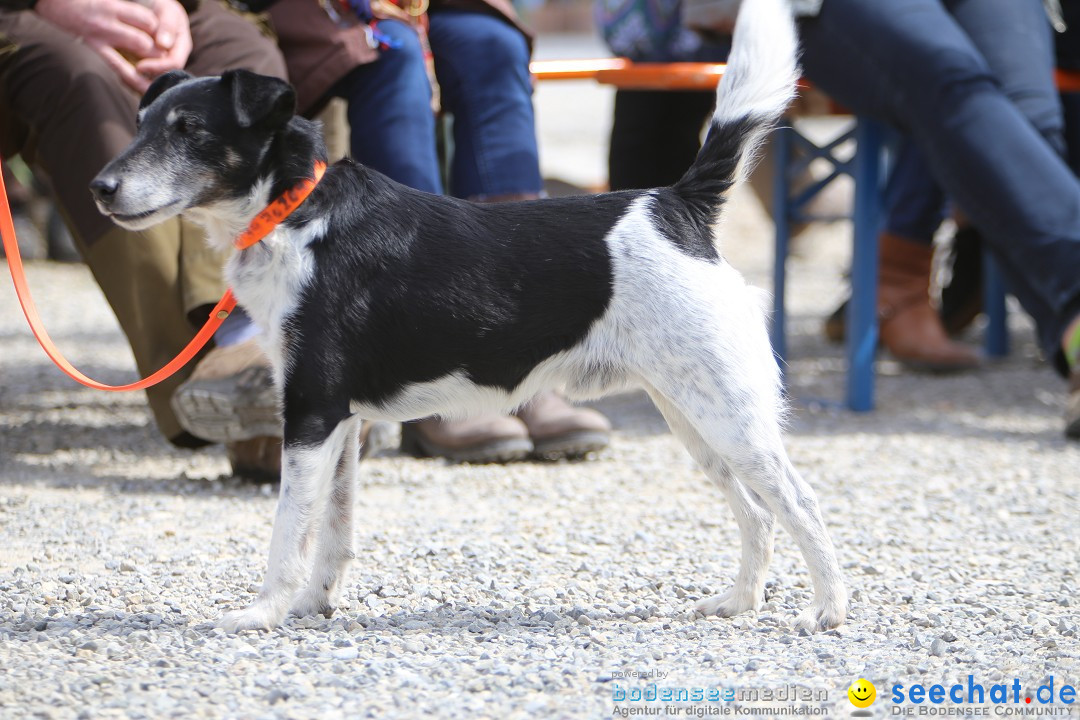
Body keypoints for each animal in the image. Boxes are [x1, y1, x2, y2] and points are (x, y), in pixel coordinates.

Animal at [92, 0, 846, 630]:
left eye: (189, 131)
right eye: (143, 126)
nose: (100, 187)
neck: (295, 210)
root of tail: (677, 203)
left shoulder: (309, 412)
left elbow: (287, 531)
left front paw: (263, 612)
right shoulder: (343, 422)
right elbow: (334, 531)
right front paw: (313, 605)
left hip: (728, 414)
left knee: (802, 504)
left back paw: (827, 612)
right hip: (695, 418)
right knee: (759, 515)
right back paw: (739, 602)